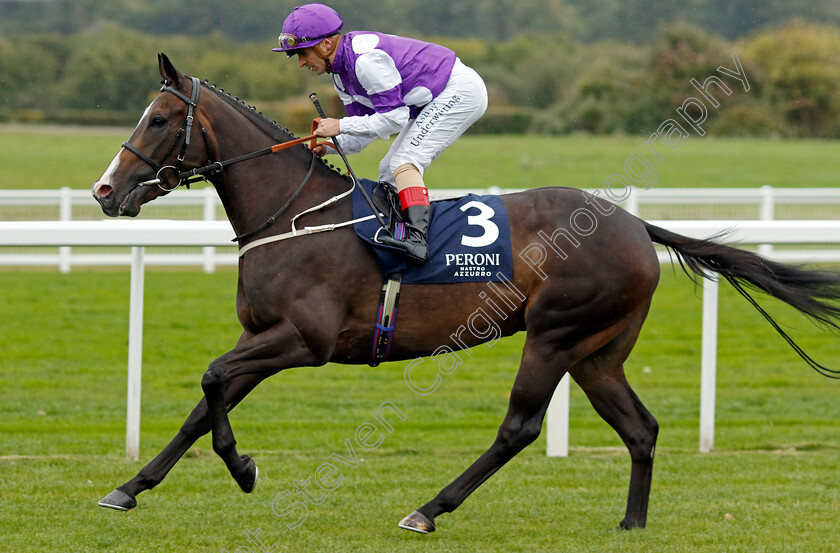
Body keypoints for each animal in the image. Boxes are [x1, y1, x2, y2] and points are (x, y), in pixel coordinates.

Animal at [92, 54, 840, 532]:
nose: (103, 191)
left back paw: (429, 509)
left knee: (521, 426)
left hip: (556, 334)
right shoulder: (263, 336)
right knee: (640, 427)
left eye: (159, 119)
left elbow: (212, 378)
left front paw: (243, 467)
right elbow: (203, 403)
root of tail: (632, 222)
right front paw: (129, 488)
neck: (296, 214)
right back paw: (631, 522)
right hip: (598, 351)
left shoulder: (302, 340)